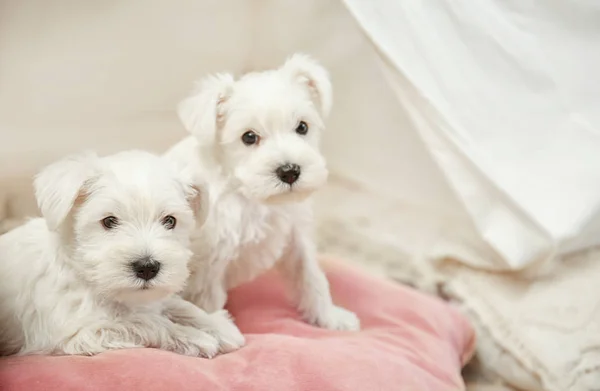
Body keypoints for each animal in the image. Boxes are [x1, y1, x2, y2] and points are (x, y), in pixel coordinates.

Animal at [0, 150, 244, 358]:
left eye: (170, 221)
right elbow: (146, 323)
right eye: (109, 221)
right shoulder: (82, 333)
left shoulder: (149, 299)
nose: (147, 267)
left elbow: (178, 305)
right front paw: (195, 337)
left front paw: (219, 326)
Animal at [166, 55, 358, 330]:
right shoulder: (211, 263)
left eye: (302, 127)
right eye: (249, 137)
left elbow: (311, 277)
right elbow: (208, 302)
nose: (289, 171)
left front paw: (331, 317)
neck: (251, 197)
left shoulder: (296, 236)